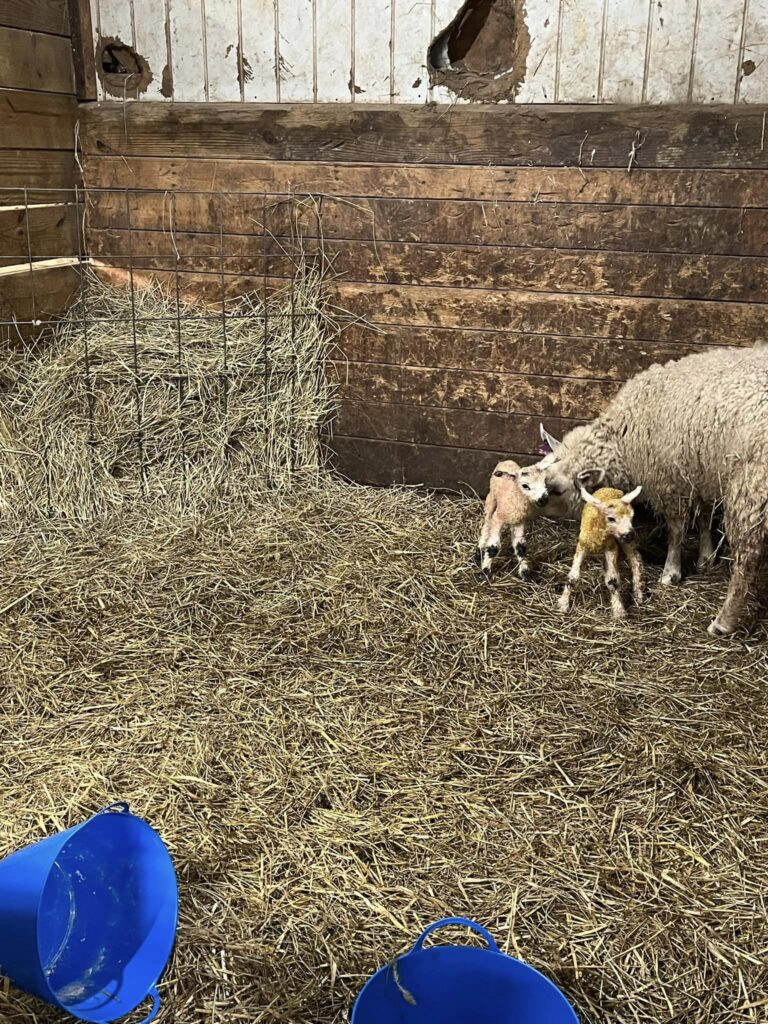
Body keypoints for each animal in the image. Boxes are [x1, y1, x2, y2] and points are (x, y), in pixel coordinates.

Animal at [561, 485, 647, 618]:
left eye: (631, 517)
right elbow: (573, 577)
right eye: (611, 518)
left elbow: (612, 581)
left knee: (635, 558)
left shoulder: (611, 547)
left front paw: (619, 611)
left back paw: (638, 594)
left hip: (623, 541)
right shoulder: (582, 545)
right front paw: (563, 604)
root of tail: (610, 488)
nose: (630, 534)